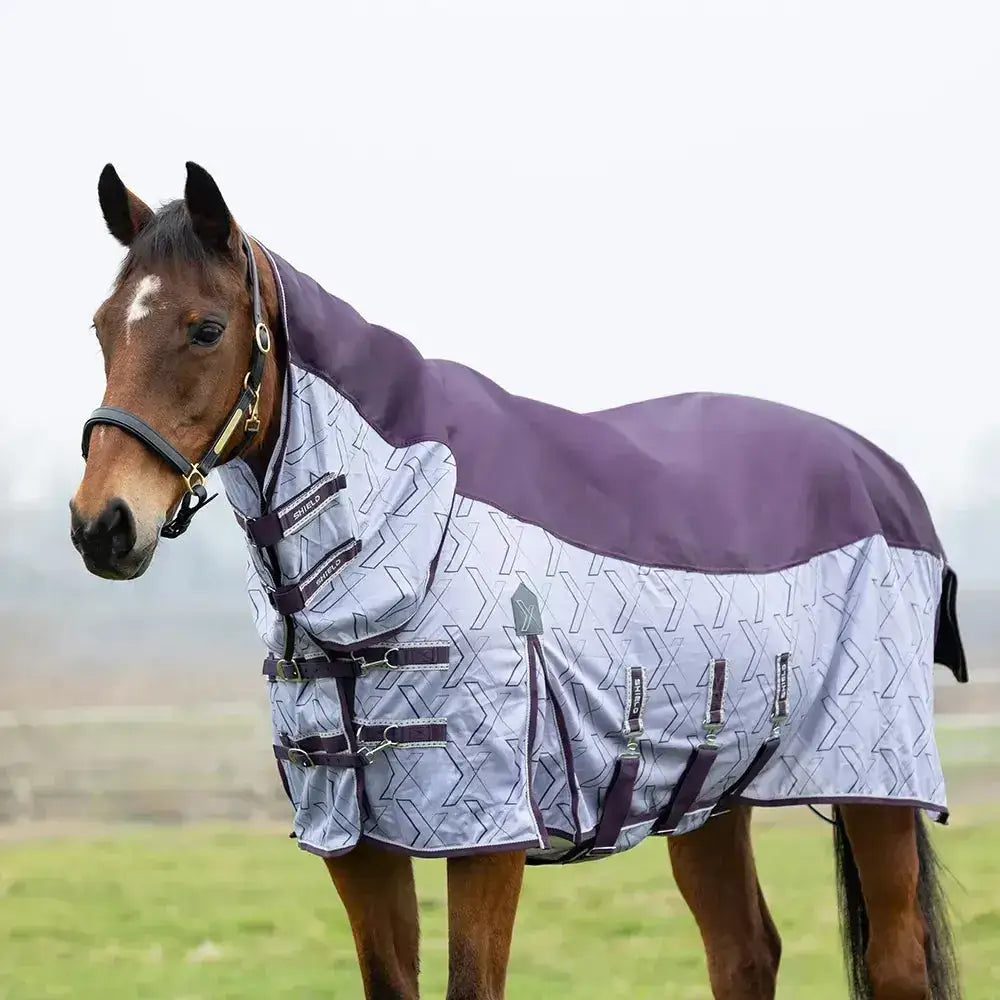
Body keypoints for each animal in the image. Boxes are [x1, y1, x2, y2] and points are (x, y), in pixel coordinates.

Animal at [71, 162, 966, 1000]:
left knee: (894, 962)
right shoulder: (353, 840)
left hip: (877, 788)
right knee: (744, 954)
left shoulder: (485, 834)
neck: (407, 539)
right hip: (708, 791)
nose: (101, 525)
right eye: (104, 327)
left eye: (206, 329)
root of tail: (880, 474)